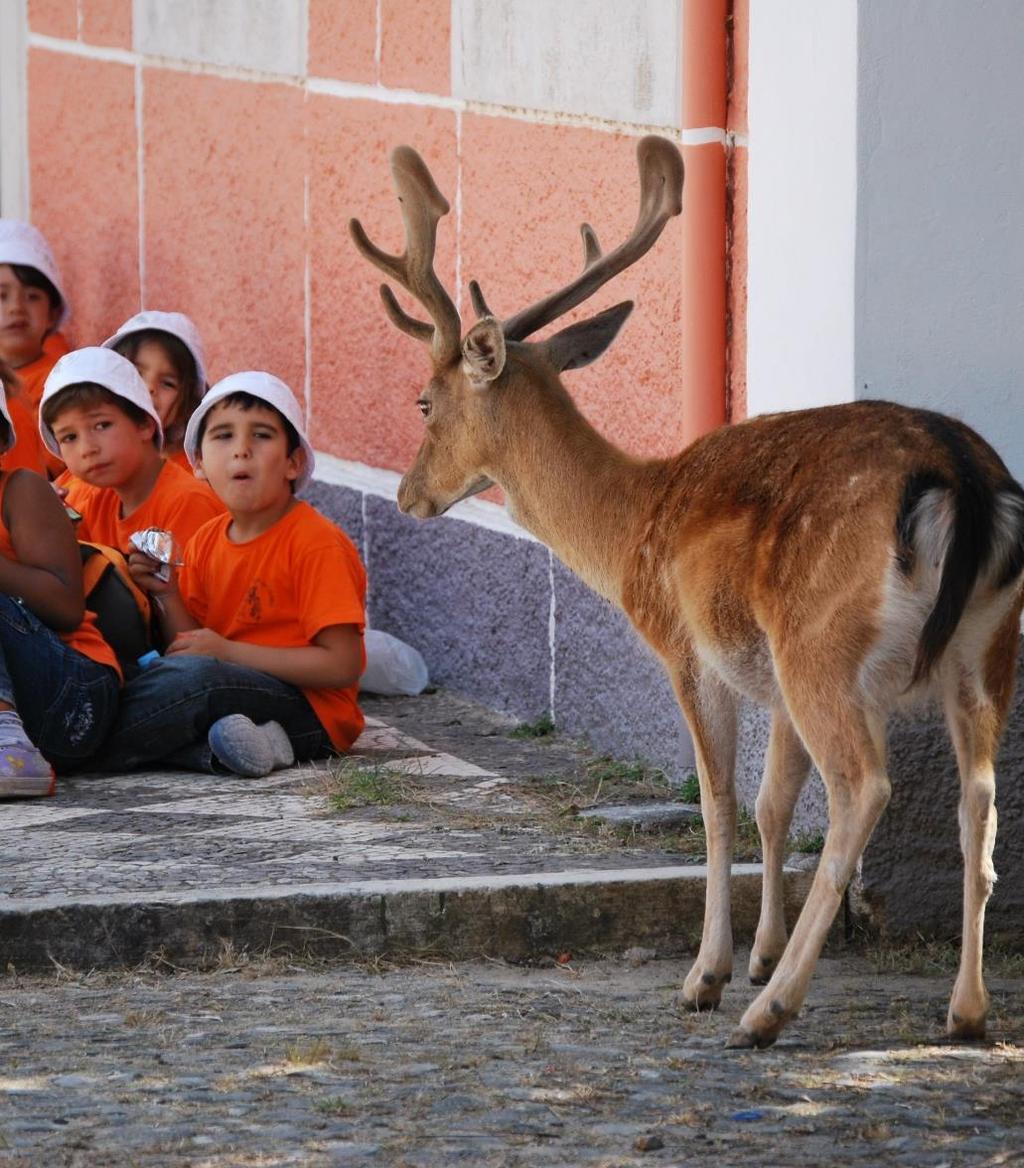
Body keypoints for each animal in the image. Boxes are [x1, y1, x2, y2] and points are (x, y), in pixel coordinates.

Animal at [352, 132, 1022, 1046]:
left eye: (424, 402)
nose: (407, 494)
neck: (631, 520)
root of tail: (959, 471)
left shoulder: (688, 649)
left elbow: (719, 802)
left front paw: (711, 974)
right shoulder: (769, 678)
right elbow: (775, 803)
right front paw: (763, 953)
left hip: (823, 639)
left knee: (865, 788)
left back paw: (771, 1014)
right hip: (985, 644)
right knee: (979, 800)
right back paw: (965, 1009)